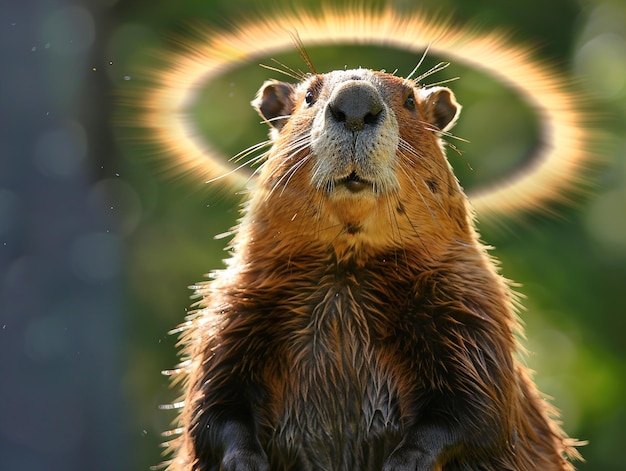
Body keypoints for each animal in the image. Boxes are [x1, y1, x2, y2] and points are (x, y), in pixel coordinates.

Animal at [162, 67, 580, 471]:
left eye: (410, 100)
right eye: (309, 96)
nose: (355, 103)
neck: (345, 275)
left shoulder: (468, 302)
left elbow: (478, 409)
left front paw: (404, 462)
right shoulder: (236, 304)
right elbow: (211, 405)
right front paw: (245, 461)